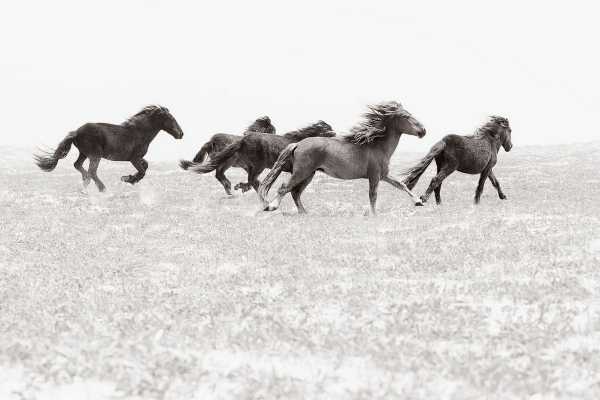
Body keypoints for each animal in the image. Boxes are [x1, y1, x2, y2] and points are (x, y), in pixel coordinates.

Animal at [32, 103, 182, 191]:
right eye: (170, 119)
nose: (181, 134)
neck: (138, 133)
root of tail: (76, 132)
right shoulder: (134, 158)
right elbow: (142, 171)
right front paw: (127, 179)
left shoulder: (139, 158)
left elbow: (145, 166)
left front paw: (130, 178)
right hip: (95, 155)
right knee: (92, 171)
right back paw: (102, 188)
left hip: (84, 154)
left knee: (78, 165)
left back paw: (85, 183)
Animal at [180, 119, 336, 195]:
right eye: (328, 131)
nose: (335, 136)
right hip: (246, 164)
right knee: (229, 176)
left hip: (243, 164)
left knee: (239, 178)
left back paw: (235, 188)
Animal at [258, 101, 426, 214]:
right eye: (405, 116)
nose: (423, 131)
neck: (377, 147)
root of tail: (297, 144)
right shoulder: (374, 176)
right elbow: (373, 195)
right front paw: (373, 214)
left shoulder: (383, 175)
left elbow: (401, 185)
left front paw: (418, 202)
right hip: (302, 172)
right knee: (285, 188)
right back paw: (271, 206)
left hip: (309, 174)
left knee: (295, 192)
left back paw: (304, 213)